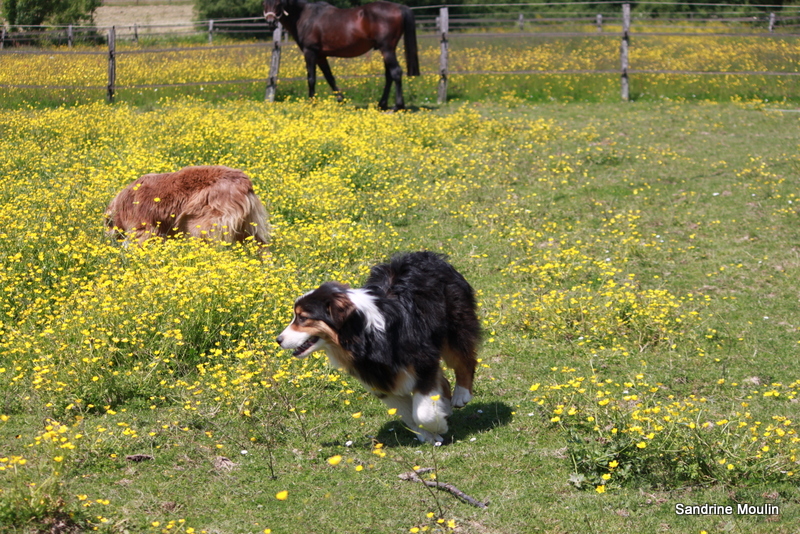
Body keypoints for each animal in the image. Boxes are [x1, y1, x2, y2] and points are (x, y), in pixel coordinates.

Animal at [266, 0, 422, 110]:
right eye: (264, 2)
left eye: (279, 2)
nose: (271, 22)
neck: (305, 16)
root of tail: (400, 7)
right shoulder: (321, 56)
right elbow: (330, 78)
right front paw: (341, 100)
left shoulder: (310, 52)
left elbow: (311, 79)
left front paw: (312, 103)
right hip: (385, 50)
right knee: (389, 75)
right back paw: (381, 104)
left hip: (387, 49)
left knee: (396, 72)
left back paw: (398, 106)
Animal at [278, 253, 478, 446]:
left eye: (303, 318)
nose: (278, 340)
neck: (364, 335)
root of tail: (429, 255)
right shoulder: (378, 379)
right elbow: (408, 414)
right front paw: (428, 434)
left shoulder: (423, 361)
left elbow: (421, 412)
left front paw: (438, 425)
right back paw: (445, 407)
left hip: (455, 327)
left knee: (465, 359)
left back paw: (461, 394)